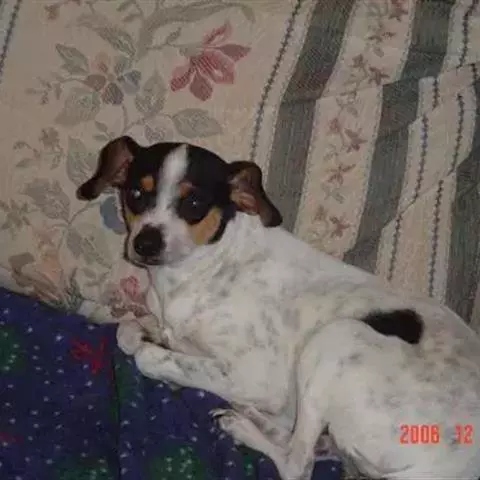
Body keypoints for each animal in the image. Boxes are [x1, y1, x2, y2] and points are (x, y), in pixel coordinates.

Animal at [78, 136, 480, 480]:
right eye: (136, 194)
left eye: (193, 204)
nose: (144, 244)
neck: (204, 268)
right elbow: (129, 330)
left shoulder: (258, 374)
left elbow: (147, 356)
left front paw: (162, 358)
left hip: (338, 338)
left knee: (297, 465)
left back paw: (243, 424)